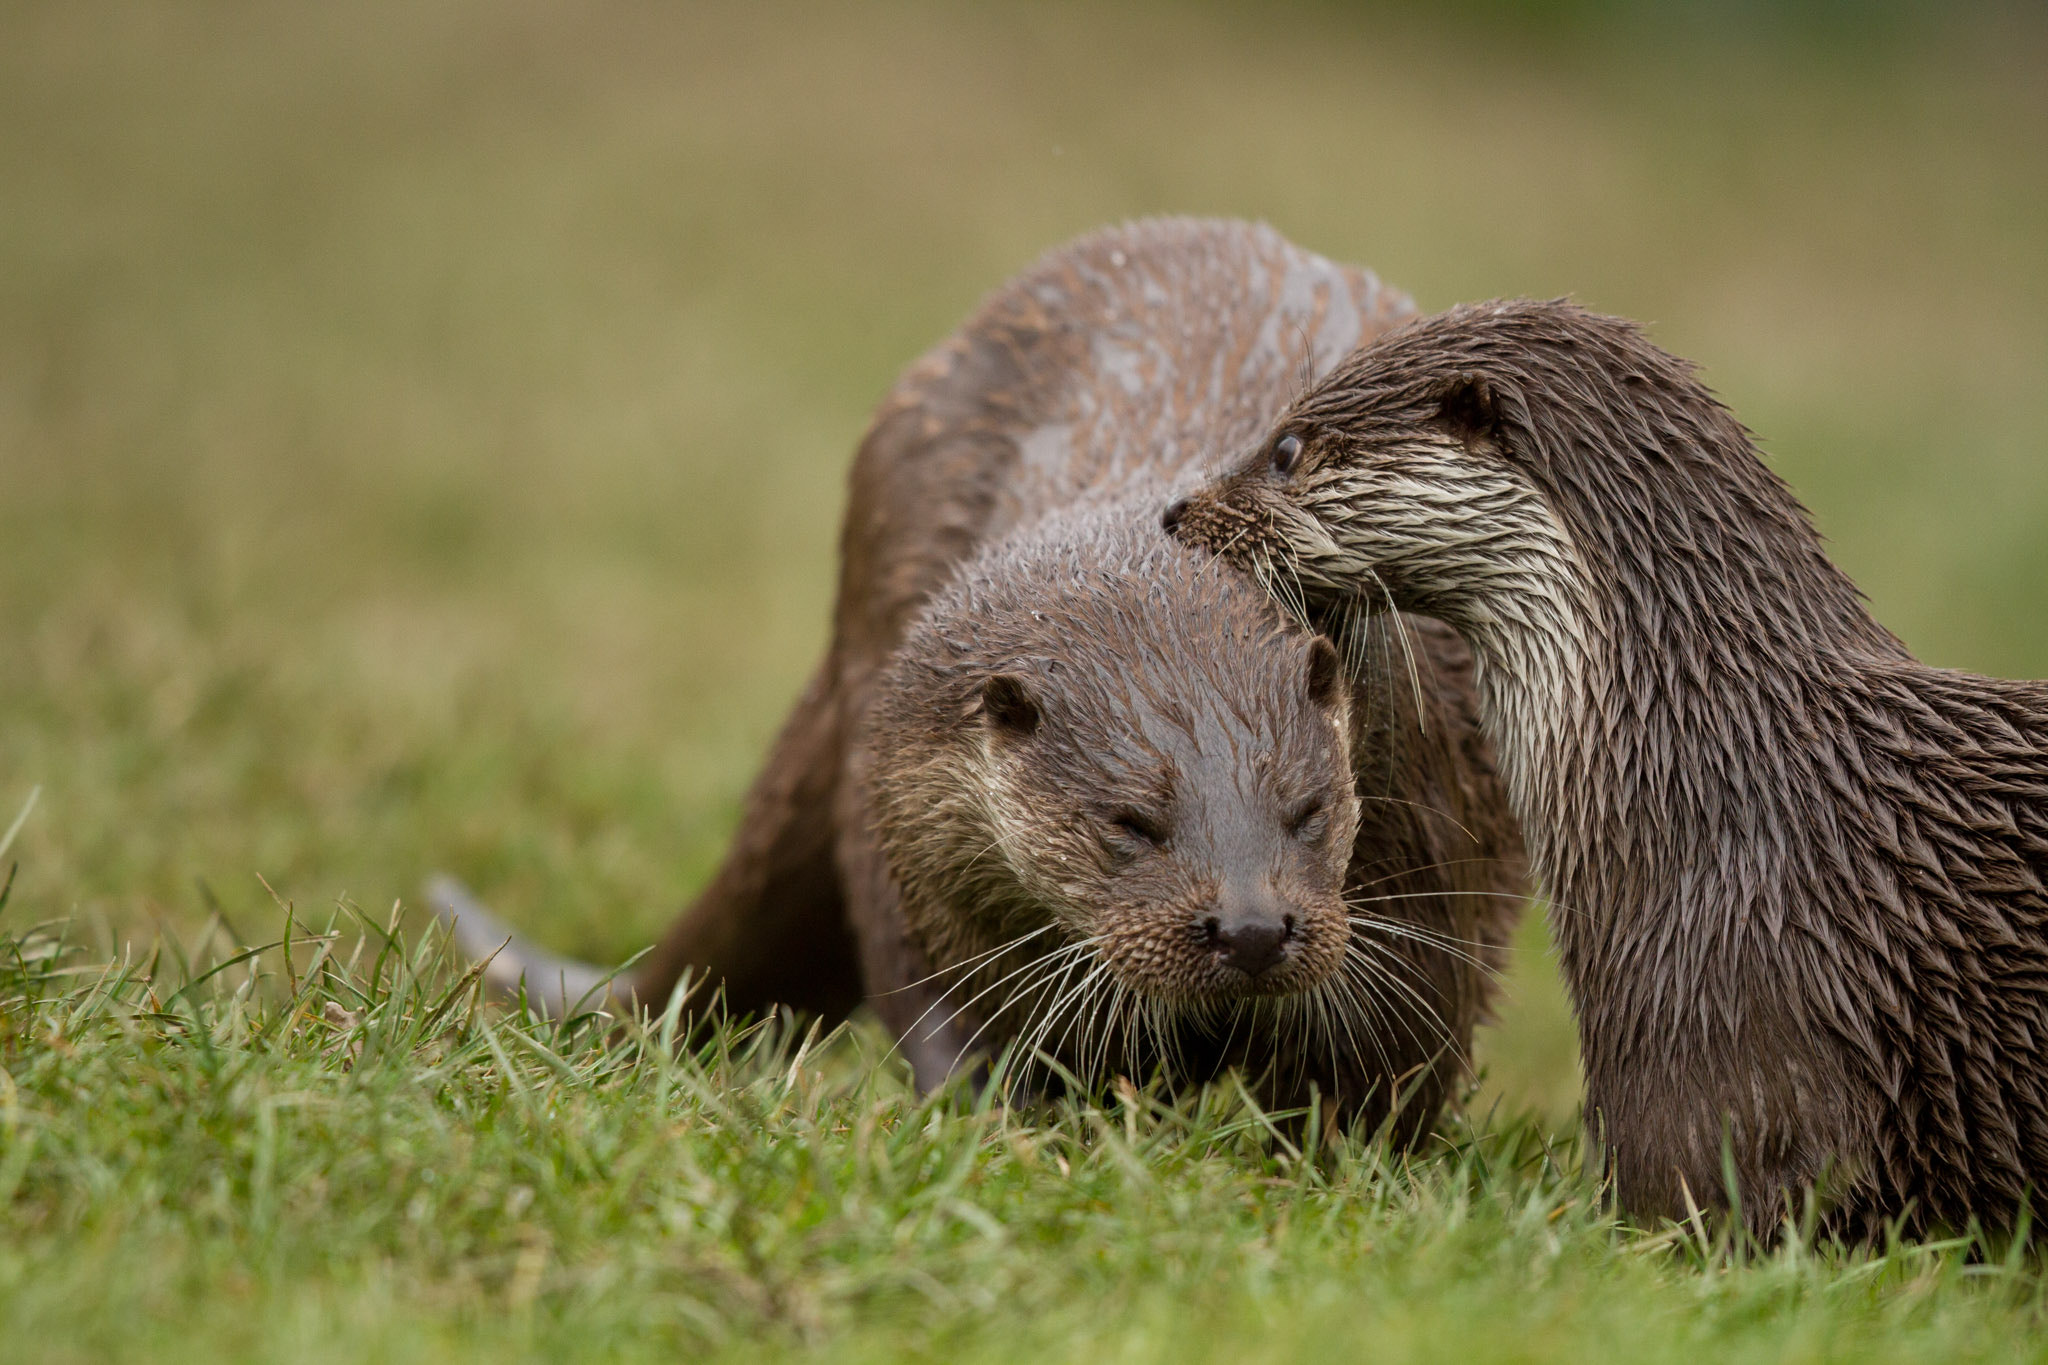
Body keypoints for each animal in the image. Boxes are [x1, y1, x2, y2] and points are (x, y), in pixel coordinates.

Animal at [435, 221, 1526, 1129]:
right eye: (1130, 823)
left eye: (1307, 810)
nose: (1252, 927)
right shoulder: (913, 819)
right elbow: (938, 994)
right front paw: (1000, 1119)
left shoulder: (1431, 814)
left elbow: (1389, 1055)